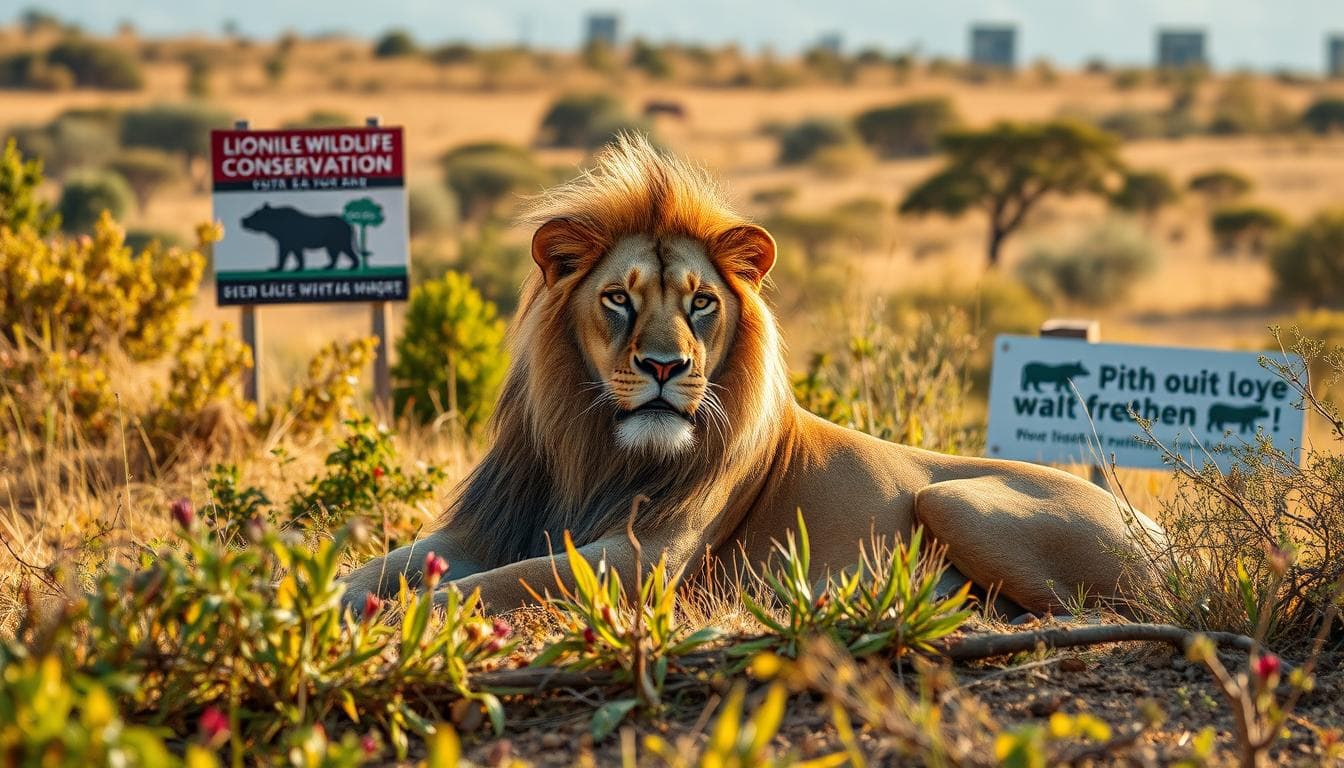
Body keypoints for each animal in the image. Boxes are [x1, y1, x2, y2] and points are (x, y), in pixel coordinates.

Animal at [341, 134, 1164, 617]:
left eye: (702, 303)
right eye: (618, 298)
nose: (665, 366)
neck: (592, 450)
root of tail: (1156, 529)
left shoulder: (643, 561)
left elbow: (496, 584)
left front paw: (400, 615)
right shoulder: (489, 524)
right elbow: (387, 564)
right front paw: (337, 596)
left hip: (951, 500)